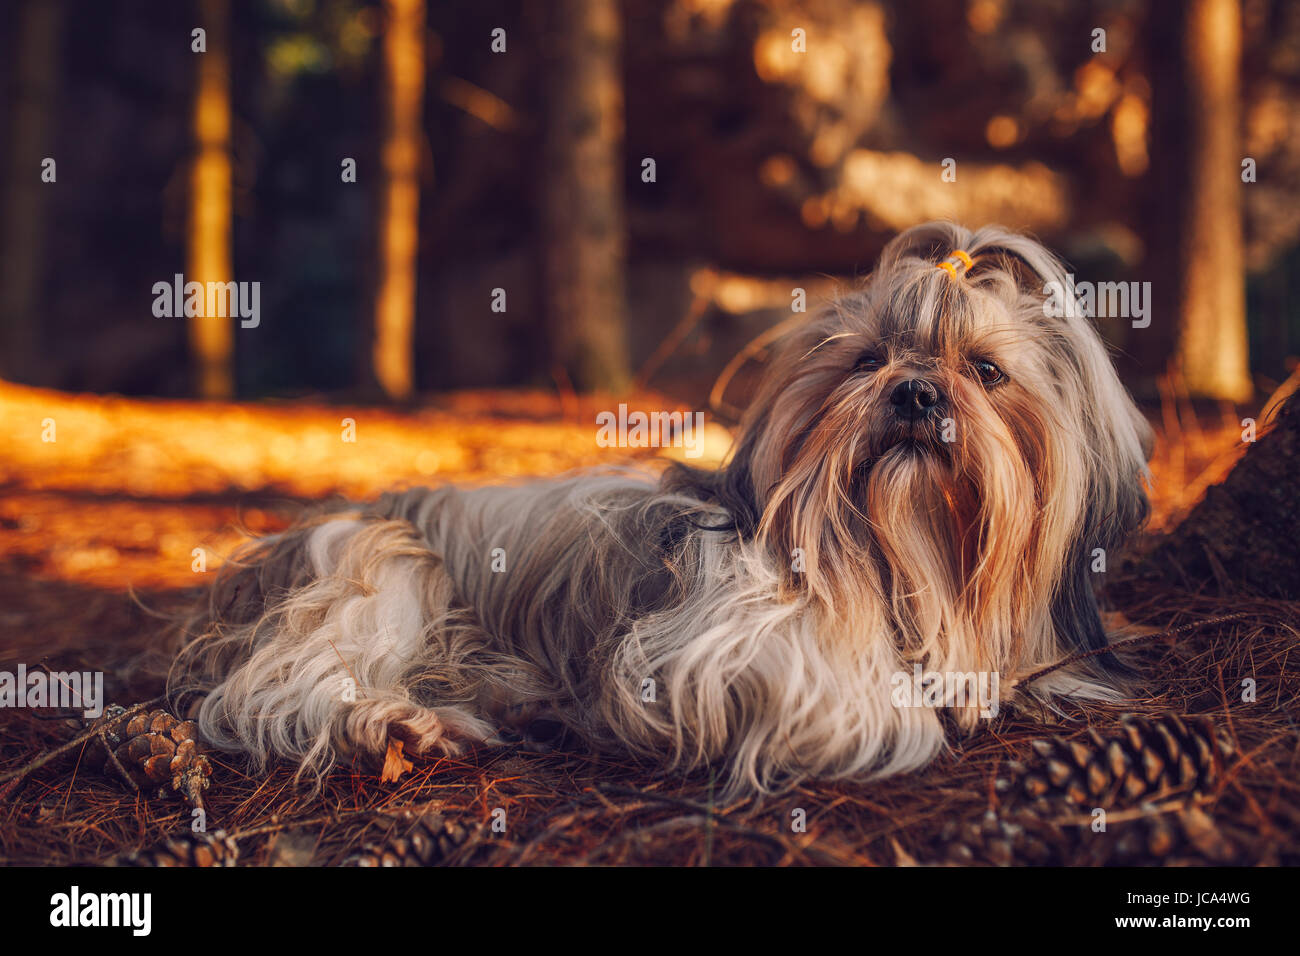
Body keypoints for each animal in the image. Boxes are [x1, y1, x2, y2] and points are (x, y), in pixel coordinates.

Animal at [170, 221, 1149, 796]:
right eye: (866, 361)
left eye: (986, 371)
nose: (914, 392)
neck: (898, 555)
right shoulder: (711, 644)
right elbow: (853, 694)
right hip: (375, 564)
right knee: (282, 689)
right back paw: (408, 722)